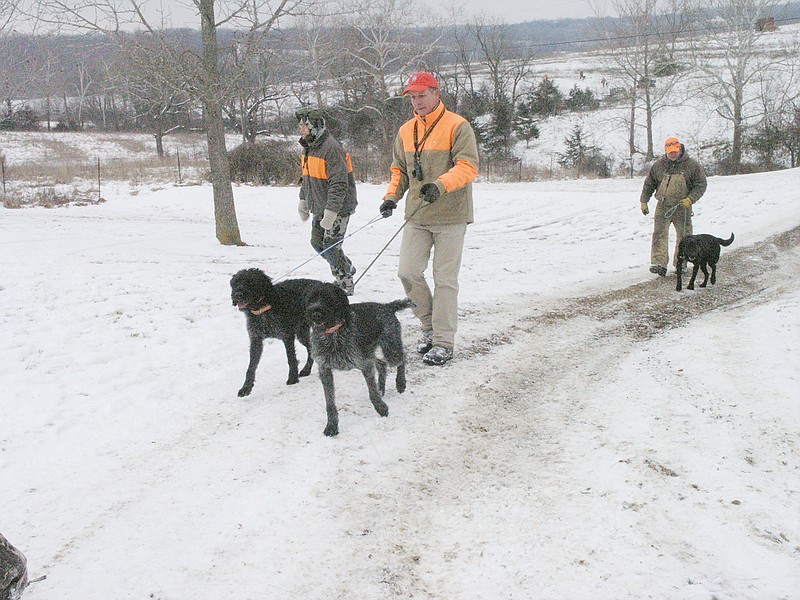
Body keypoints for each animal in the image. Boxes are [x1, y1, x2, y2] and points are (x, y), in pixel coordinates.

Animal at [302, 282, 410, 436]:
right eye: (310, 299)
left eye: (328, 298)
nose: (315, 314)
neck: (332, 335)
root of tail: (387, 306)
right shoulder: (325, 370)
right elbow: (330, 403)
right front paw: (332, 426)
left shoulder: (364, 364)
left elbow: (372, 393)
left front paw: (381, 408)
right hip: (372, 352)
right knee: (381, 364)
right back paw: (381, 387)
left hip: (391, 349)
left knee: (402, 358)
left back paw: (400, 383)